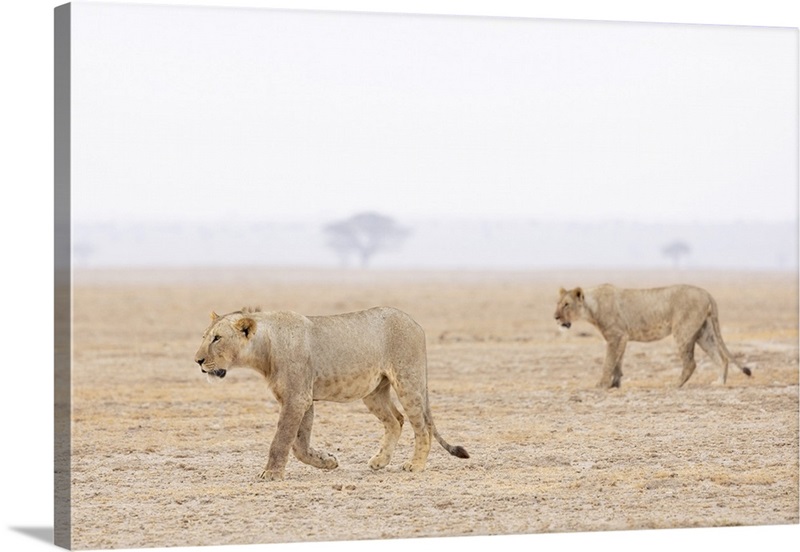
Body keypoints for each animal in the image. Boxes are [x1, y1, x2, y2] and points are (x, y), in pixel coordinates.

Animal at [194, 304, 468, 480]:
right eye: (205, 336)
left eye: (217, 338)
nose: (197, 361)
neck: (264, 349)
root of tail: (415, 322)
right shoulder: (303, 399)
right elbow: (299, 445)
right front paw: (327, 461)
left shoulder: (297, 398)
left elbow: (281, 440)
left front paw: (270, 473)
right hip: (374, 391)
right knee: (395, 420)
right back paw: (380, 460)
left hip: (408, 380)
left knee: (422, 425)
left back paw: (415, 464)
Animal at [556, 284, 752, 388]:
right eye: (558, 303)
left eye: (566, 304)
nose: (555, 317)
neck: (592, 306)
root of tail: (706, 292)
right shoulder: (622, 337)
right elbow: (618, 362)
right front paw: (615, 384)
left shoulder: (615, 336)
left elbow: (608, 362)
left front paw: (602, 385)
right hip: (704, 333)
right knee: (721, 358)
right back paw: (719, 383)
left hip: (683, 331)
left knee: (690, 363)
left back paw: (675, 384)